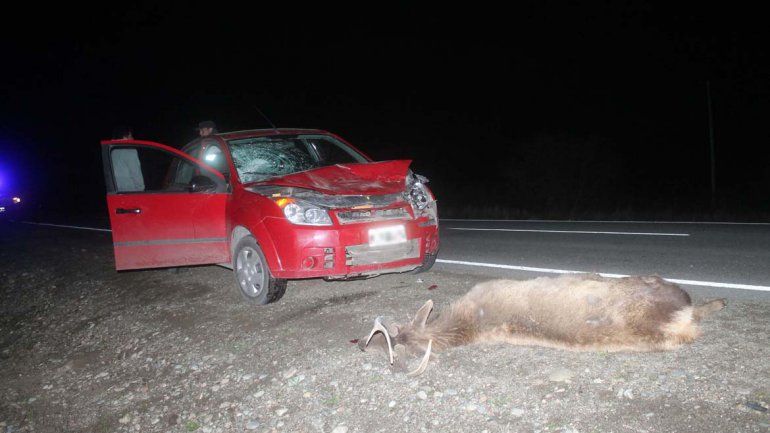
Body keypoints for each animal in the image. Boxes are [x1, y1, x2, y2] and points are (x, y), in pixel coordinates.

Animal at [359, 273, 726, 376]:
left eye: (400, 337)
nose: (366, 344)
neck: (467, 322)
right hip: (665, 295)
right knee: (695, 316)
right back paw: (716, 303)